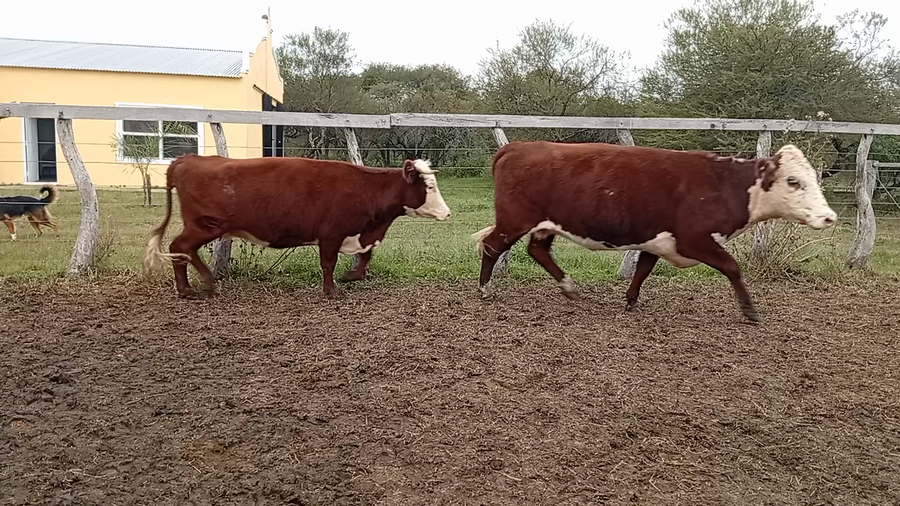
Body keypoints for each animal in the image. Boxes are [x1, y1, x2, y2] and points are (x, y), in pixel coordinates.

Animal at [143, 154, 451, 297]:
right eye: (430, 187)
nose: (447, 213)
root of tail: (190, 159)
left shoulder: (360, 233)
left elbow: (365, 256)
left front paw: (352, 276)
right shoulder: (331, 234)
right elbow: (328, 263)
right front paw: (331, 290)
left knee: (181, 250)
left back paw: (189, 288)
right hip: (205, 225)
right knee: (180, 247)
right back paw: (200, 283)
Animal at [472, 141, 837, 322]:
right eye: (794, 181)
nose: (829, 217)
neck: (725, 185)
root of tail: (517, 146)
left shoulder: (658, 242)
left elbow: (643, 269)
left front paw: (631, 301)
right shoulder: (694, 240)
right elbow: (732, 267)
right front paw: (749, 310)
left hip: (545, 224)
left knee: (538, 251)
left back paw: (570, 288)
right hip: (514, 220)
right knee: (491, 246)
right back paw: (486, 290)